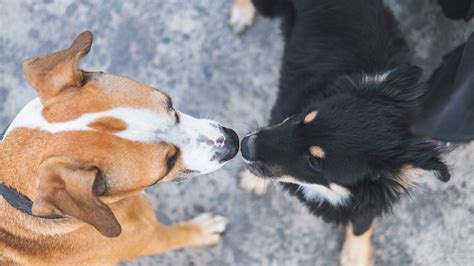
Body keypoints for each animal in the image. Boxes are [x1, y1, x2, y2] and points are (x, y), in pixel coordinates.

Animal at [0, 31, 239, 264]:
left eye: (170, 104)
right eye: (169, 162)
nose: (234, 141)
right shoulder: (150, 237)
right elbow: (176, 235)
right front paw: (202, 230)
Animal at [241, 0, 452, 264]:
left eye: (314, 162)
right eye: (304, 118)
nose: (244, 146)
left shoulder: (369, 197)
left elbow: (361, 223)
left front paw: (355, 255)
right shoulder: (283, 109)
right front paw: (252, 179)